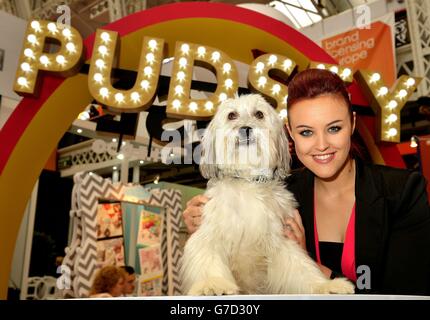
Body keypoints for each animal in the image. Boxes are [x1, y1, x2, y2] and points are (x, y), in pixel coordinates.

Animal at [180, 93, 354, 296]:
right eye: (231, 115)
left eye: (259, 114)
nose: (245, 129)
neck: (248, 180)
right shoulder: (210, 235)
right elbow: (208, 259)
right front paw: (213, 284)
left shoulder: (281, 240)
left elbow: (301, 268)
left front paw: (324, 286)